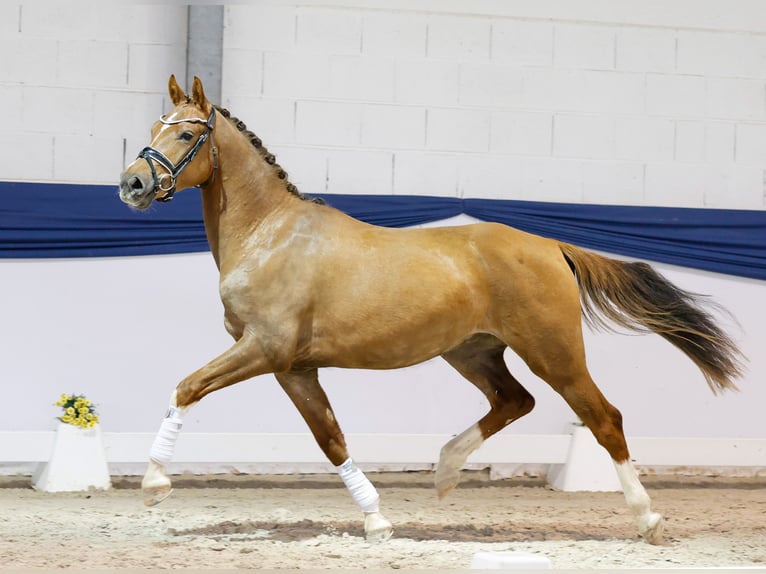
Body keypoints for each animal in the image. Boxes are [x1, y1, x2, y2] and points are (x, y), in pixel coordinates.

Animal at [118, 75, 744, 545]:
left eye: (188, 132)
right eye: (154, 128)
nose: (132, 184)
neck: (270, 235)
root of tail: (551, 246)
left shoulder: (263, 349)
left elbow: (186, 387)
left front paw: (153, 485)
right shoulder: (293, 367)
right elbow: (331, 439)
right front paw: (377, 521)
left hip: (554, 352)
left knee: (603, 417)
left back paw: (649, 519)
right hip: (473, 353)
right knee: (515, 401)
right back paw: (444, 471)